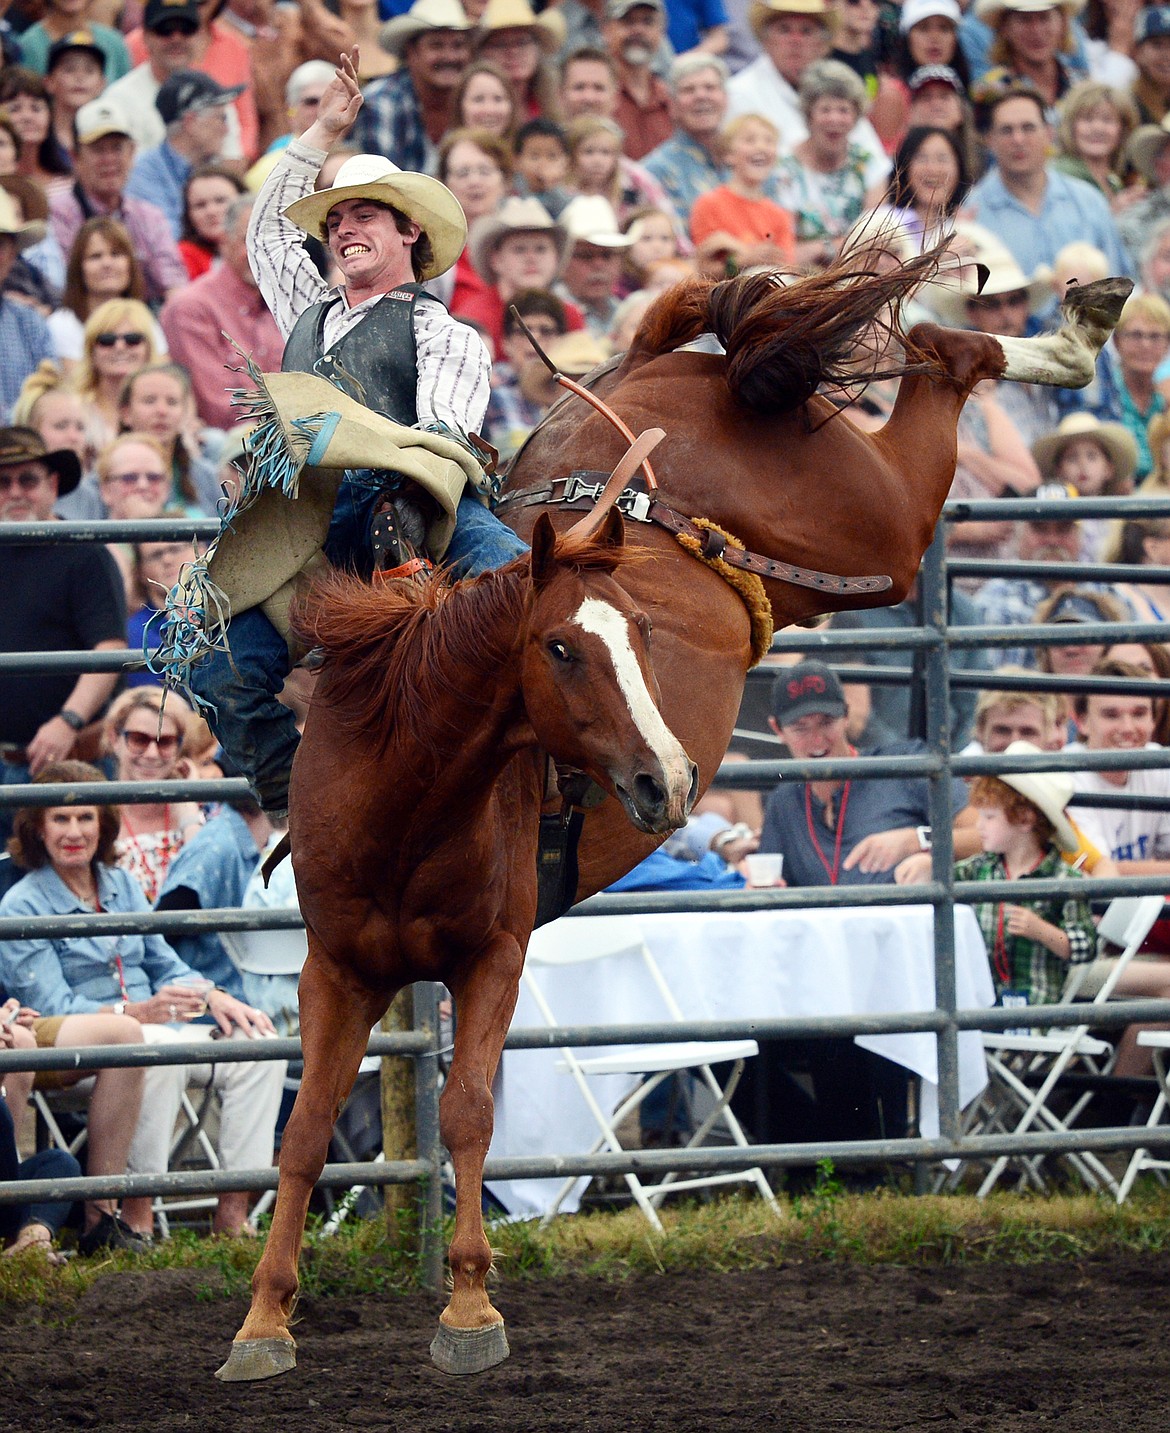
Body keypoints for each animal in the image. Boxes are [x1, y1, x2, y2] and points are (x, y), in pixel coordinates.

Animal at [215, 495, 693, 1387]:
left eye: (643, 629)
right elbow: (305, 1131)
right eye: (560, 646)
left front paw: (469, 1307)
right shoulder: (334, 971)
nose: (669, 781)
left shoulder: (493, 958)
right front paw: (263, 1318)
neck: (403, 793)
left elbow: (468, 1111)